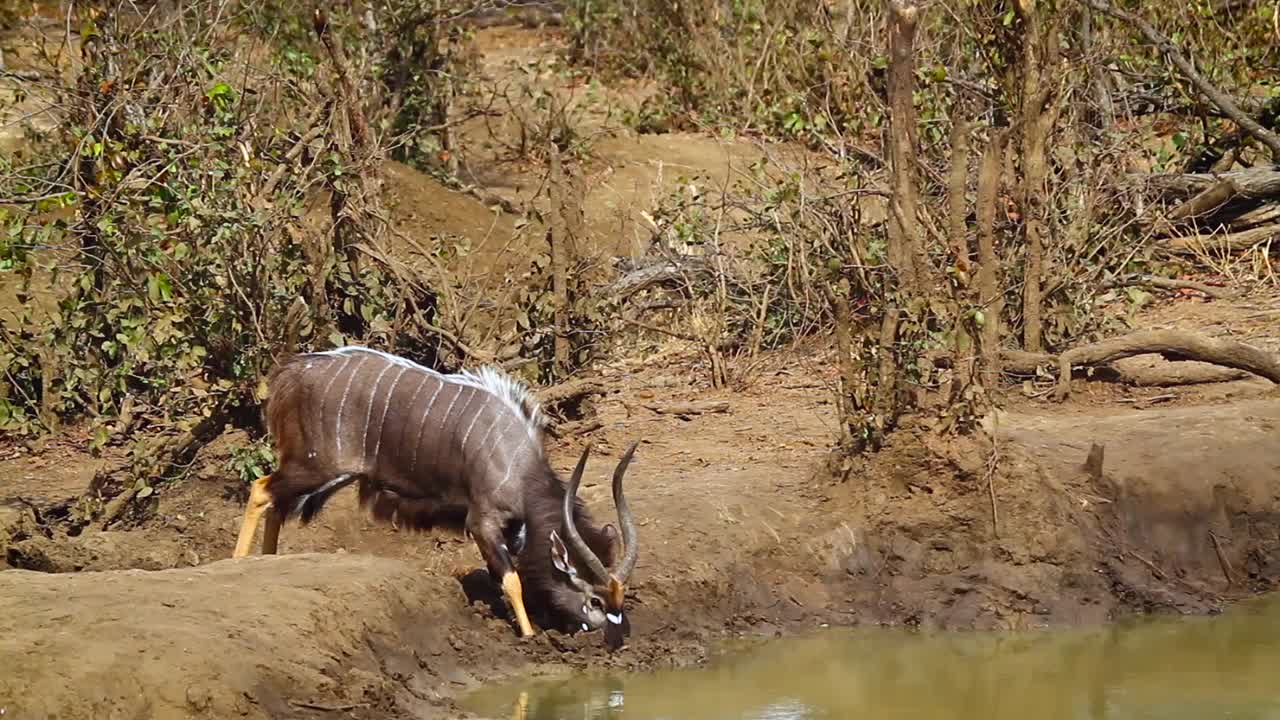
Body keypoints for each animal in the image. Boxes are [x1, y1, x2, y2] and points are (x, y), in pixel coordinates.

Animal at [231, 345, 640, 648]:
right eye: (595, 600)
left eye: (621, 597)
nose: (616, 639)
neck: (516, 462)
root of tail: (290, 375)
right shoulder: (482, 521)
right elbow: (511, 578)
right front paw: (529, 633)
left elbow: (508, 574)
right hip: (315, 468)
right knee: (261, 489)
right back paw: (238, 562)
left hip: (323, 476)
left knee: (277, 503)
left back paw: (265, 561)